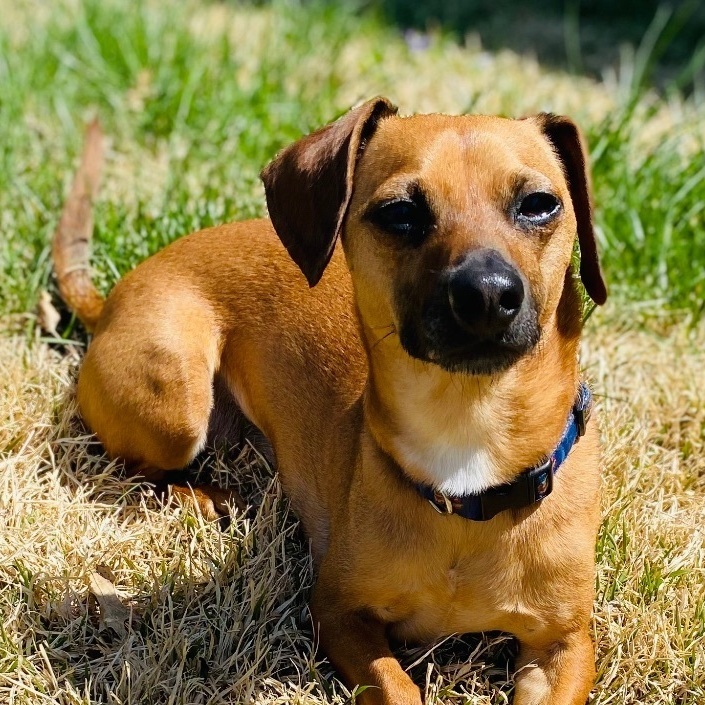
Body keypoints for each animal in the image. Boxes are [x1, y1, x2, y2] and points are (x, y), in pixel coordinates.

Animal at [53, 100, 604, 704]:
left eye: (539, 204)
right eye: (399, 213)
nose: (485, 294)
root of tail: (109, 301)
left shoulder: (566, 644)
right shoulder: (339, 612)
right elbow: (398, 688)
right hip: (175, 405)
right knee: (135, 467)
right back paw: (201, 497)